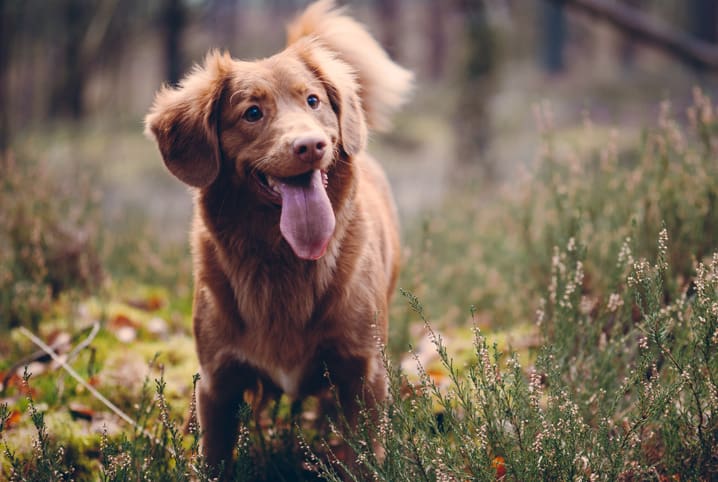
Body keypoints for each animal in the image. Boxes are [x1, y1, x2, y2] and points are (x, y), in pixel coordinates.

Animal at [144, 0, 414, 474]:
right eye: (252, 112)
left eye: (313, 101)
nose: (311, 145)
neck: (281, 259)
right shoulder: (218, 383)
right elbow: (214, 458)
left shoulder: (363, 372)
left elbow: (364, 457)